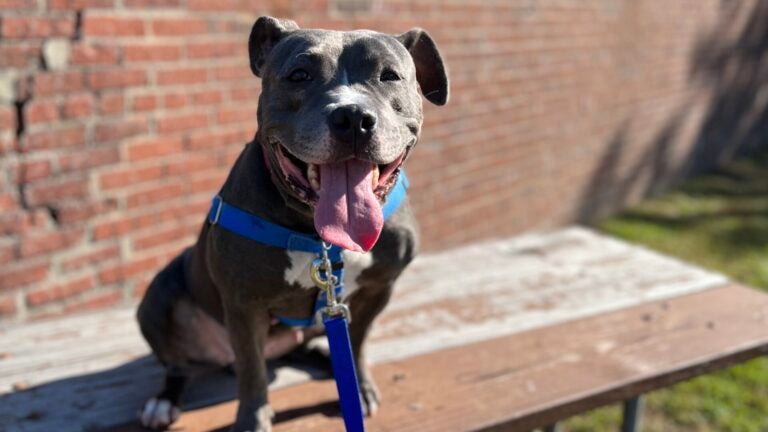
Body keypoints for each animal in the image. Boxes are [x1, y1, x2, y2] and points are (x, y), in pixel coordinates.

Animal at [137, 15, 448, 430]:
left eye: (390, 75)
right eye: (299, 74)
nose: (353, 117)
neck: (320, 236)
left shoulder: (379, 288)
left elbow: (359, 341)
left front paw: (359, 385)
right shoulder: (244, 305)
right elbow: (252, 371)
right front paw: (252, 420)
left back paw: (327, 363)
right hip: (159, 296)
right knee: (179, 364)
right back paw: (163, 401)